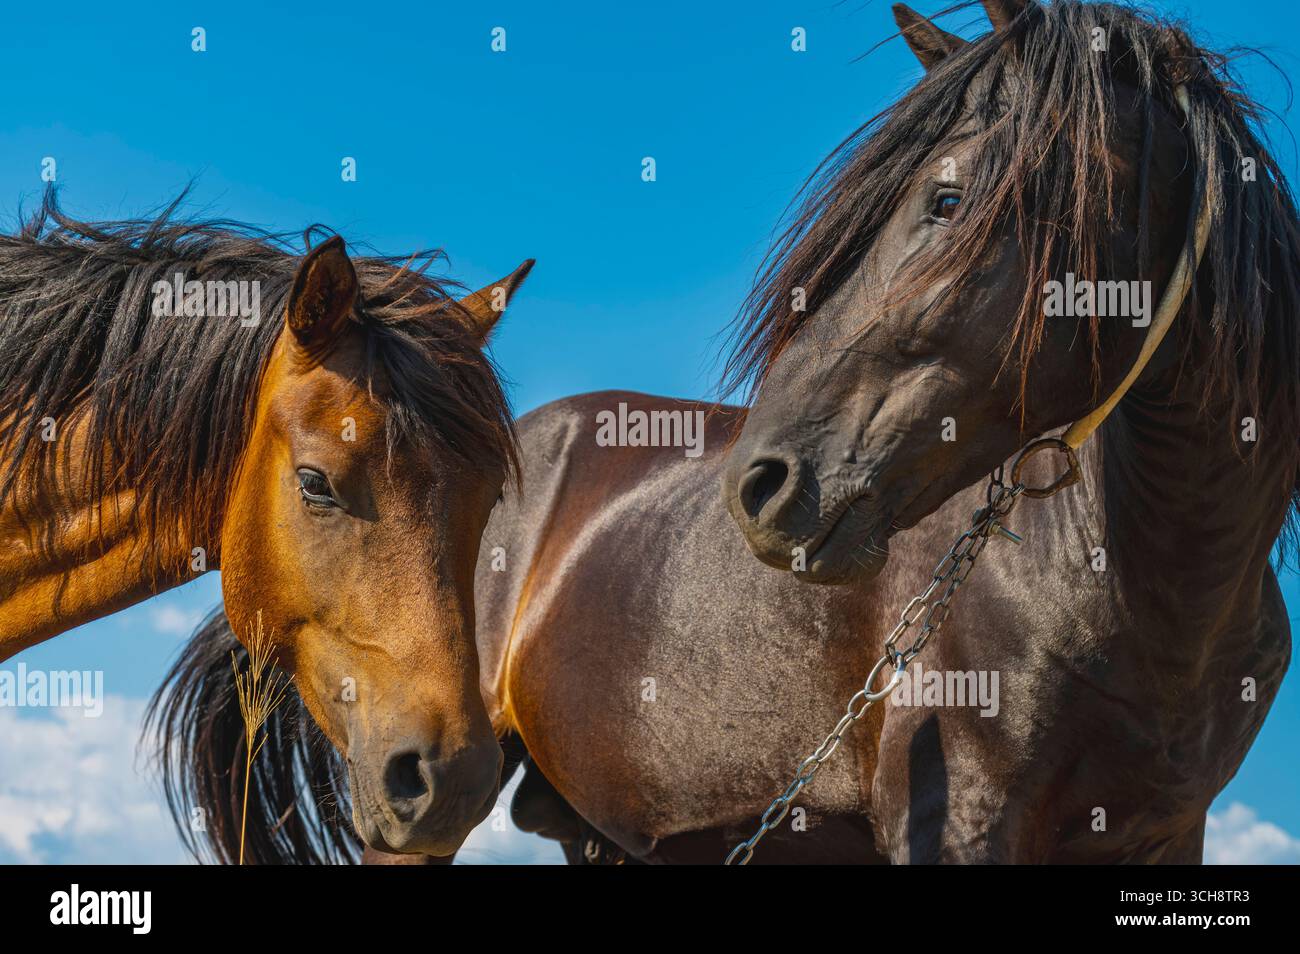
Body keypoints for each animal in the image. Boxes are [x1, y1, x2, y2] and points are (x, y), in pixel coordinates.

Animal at [155, 0, 1297, 864]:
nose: (764, 484)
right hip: (422, 796)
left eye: (945, 197)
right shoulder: (964, 823)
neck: (1145, 594)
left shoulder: (1164, 836)